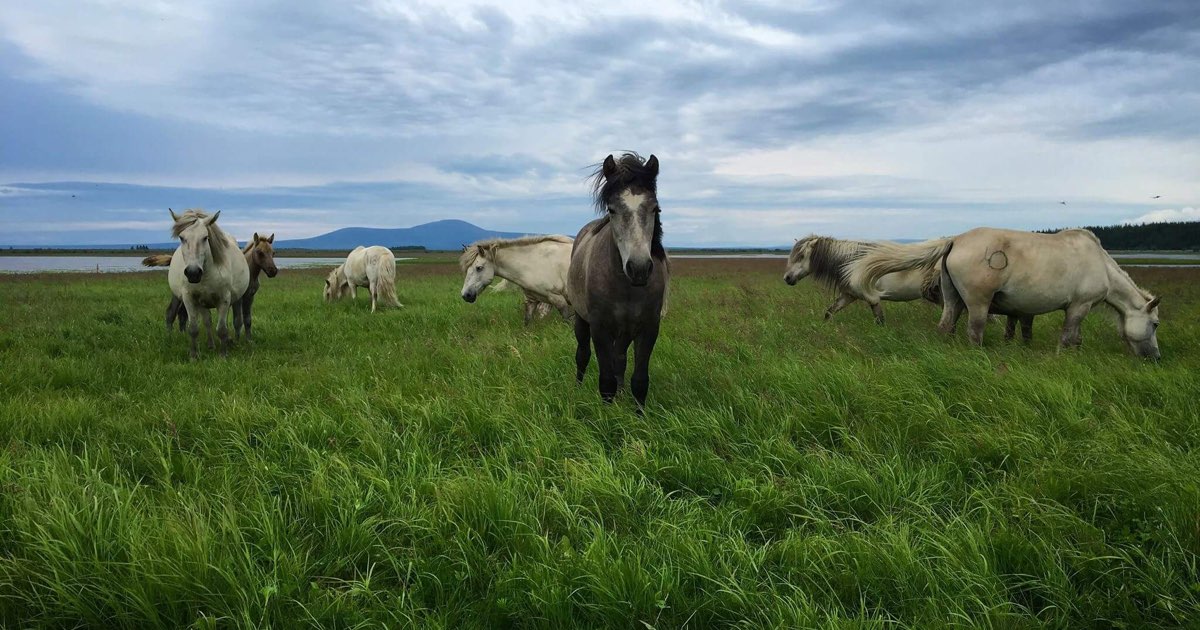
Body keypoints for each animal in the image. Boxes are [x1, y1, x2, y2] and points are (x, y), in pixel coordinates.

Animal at [145, 232, 279, 341]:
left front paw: (248, 341)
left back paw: (183, 335)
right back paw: (170, 337)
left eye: (273, 253)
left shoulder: (250, 297)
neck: (249, 273)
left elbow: (247, 320)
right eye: (260, 253)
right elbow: (238, 321)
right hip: (177, 295)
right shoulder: (238, 299)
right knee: (171, 313)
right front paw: (237, 340)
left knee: (182, 314)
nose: (273, 271)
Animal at [163, 209, 249, 358]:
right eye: (181, 238)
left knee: (236, 321)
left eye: (205, 237)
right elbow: (193, 328)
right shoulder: (189, 299)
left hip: (235, 299)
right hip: (201, 302)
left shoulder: (224, 299)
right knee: (207, 321)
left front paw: (223, 355)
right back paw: (210, 345)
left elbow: (222, 329)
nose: (193, 273)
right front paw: (194, 356)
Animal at [569, 152, 669, 409]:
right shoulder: (600, 328)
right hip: (581, 321)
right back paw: (577, 388)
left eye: (655, 208)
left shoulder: (648, 328)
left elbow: (640, 381)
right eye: (612, 209)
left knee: (620, 360)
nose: (639, 268)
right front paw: (606, 414)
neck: (626, 287)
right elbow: (606, 381)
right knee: (582, 355)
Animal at [783, 235, 1035, 340]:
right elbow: (829, 312)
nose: (787, 278)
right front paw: (822, 327)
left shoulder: (871, 296)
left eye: (801, 256)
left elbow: (879, 318)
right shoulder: (849, 296)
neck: (853, 262)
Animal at [848, 228, 1160, 358]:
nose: (1155, 358)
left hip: (953, 302)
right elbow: (1068, 336)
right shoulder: (1079, 307)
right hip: (978, 304)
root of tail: (955, 240)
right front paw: (1065, 358)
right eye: (1155, 324)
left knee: (946, 326)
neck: (1100, 264)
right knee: (975, 332)